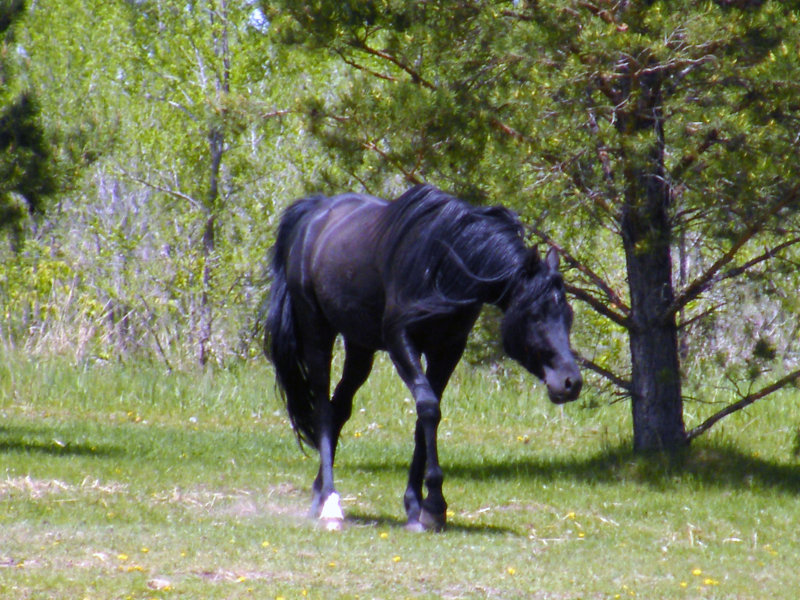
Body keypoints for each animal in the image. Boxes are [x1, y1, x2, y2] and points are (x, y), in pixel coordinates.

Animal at [262, 184, 580, 528]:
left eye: (569, 315)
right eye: (535, 316)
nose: (571, 382)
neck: (442, 265)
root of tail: (315, 213)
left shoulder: (447, 350)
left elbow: (425, 417)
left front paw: (417, 505)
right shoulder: (401, 342)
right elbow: (428, 408)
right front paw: (436, 504)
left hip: (360, 346)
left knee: (340, 407)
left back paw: (319, 492)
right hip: (317, 332)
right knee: (322, 405)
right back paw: (330, 501)